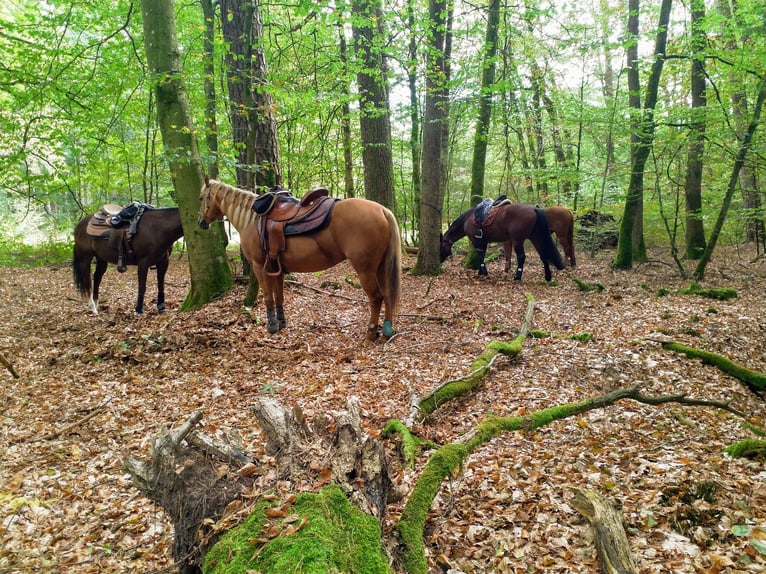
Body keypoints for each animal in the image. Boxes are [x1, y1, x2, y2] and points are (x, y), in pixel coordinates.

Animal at [197, 178, 401, 340]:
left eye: (201, 198)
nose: (201, 223)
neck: (251, 219)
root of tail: (382, 210)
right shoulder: (276, 268)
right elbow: (279, 296)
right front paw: (281, 322)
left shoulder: (259, 267)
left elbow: (268, 297)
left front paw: (271, 326)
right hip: (380, 267)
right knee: (387, 295)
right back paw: (387, 330)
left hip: (365, 269)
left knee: (376, 297)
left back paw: (371, 332)